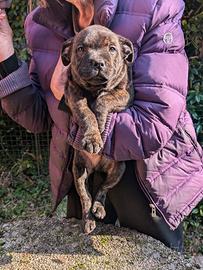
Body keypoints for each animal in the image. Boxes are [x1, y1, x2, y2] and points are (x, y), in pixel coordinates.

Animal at [61, 24, 135, 233]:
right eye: (80, 49)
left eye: (112, 49)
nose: (97, 63)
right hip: (78, 169)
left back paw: (99, 208)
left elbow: (104, 99)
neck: (94, 89)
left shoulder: (125, 93)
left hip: (119, 169)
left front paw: (101, 125)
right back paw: (88, 220)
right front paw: (93, 137)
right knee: (85, 196)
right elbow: (85, 110)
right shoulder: (72, 92)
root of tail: (97, 167)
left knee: (103, 188)